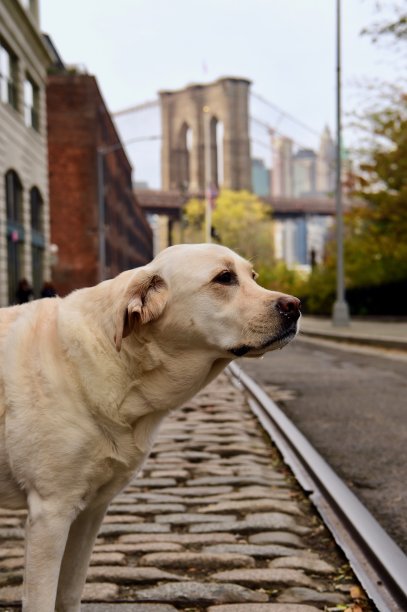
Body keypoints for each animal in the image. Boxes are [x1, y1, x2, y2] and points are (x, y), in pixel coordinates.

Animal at [0, 245, 300, 612]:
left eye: (253, 277)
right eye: (224, 278)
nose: (295, 305)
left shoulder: (90, 512)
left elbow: (69, 592)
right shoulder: (50, 512)